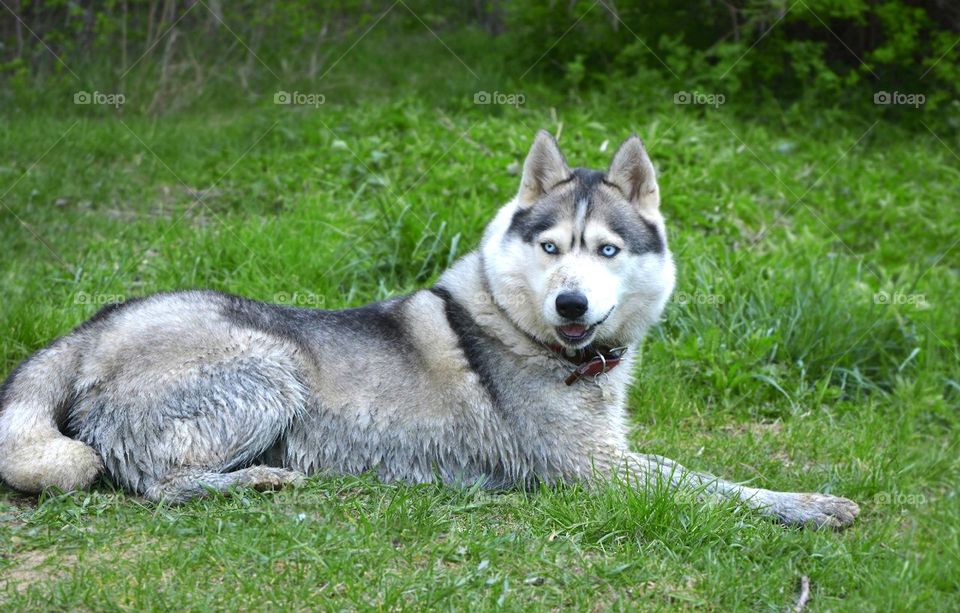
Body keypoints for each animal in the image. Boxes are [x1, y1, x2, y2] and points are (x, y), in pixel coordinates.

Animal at [0, 131, 860, 528]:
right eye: (553, 248)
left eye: (608, 250)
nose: (571, 305)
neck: (526, 335)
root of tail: (95, 324)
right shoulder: (595, 470)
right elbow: (713, 485)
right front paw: (808, 504)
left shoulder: (614, 453)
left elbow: (705, 472)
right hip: (273, 365)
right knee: (154, 481)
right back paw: (259, 480)